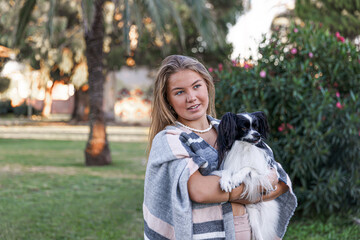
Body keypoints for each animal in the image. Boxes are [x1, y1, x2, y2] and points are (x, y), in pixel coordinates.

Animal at [215, 112, 280, 240]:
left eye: (256, 127)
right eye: (244, 128)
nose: (258, 135)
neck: (244, 147)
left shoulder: (263, 173)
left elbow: (248, 167)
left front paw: (236, 178)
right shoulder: (230, 166)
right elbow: (227, 171)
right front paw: (225, 181)